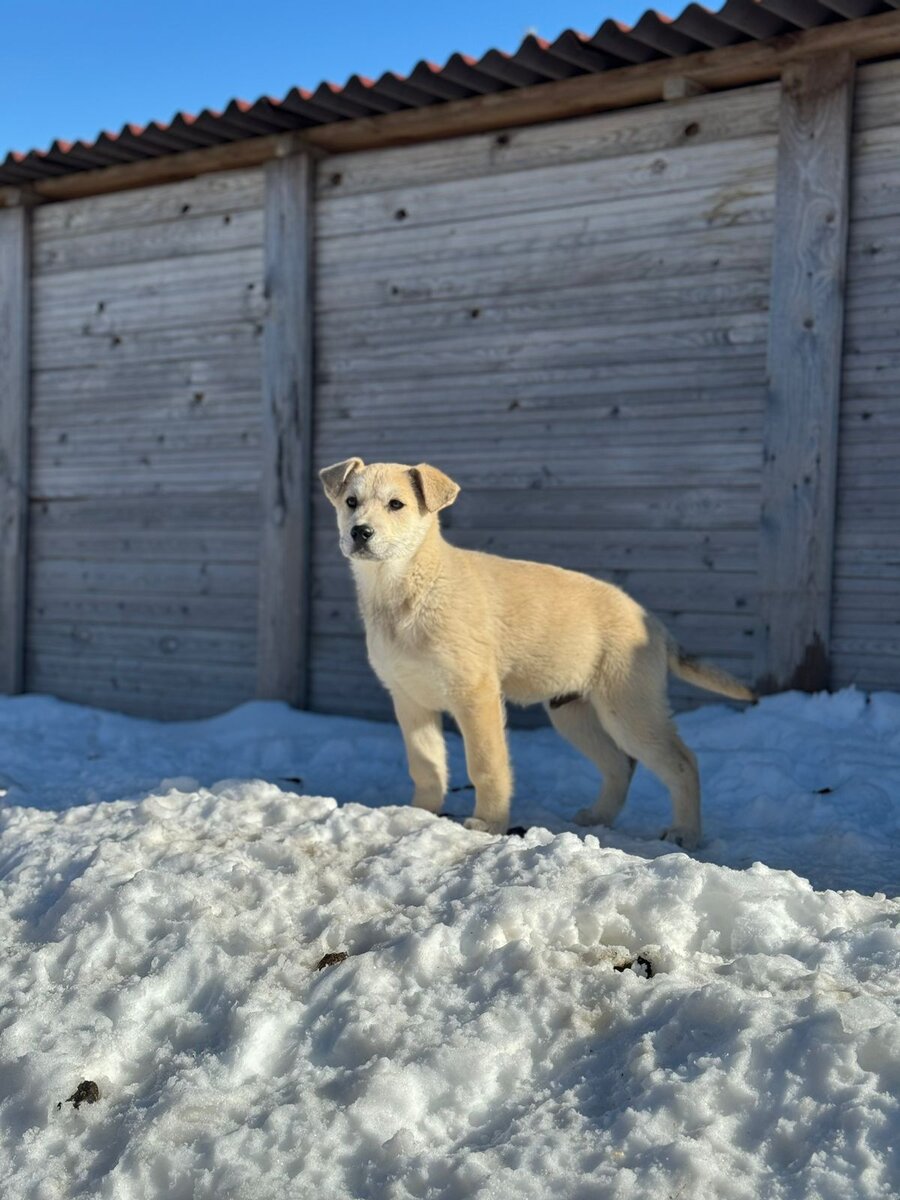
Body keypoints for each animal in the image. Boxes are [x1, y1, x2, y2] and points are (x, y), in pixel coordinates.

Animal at [321, 458, 758, 844]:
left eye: (396, 505)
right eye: (351, 502)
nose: (360, 532)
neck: (409, 588)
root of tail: (651, 621)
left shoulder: (475, 695)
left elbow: (486, 764)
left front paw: (488, 823)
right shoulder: (410, 698)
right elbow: (426, 763)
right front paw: (420, 814)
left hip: (629, 710)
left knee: (682, 762)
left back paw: (685, 833)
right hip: (574, 713)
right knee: (621, 764)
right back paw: (599, 816)